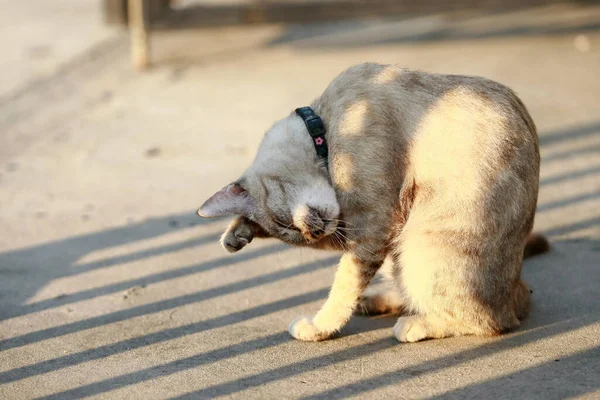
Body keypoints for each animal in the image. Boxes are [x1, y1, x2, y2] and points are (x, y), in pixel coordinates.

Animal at [197, 63, 548, 344]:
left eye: (287, 224)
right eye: (290, 234)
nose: (312, 233)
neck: (325, 127)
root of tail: (518, 286)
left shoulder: (372, 227)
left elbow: (343, 286)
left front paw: (318, 328)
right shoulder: (357, 228)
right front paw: (237, 233)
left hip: (418, 246)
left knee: (487, 322)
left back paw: (413, 325)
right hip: (401, 246)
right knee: (408, 291)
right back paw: (374, 301)